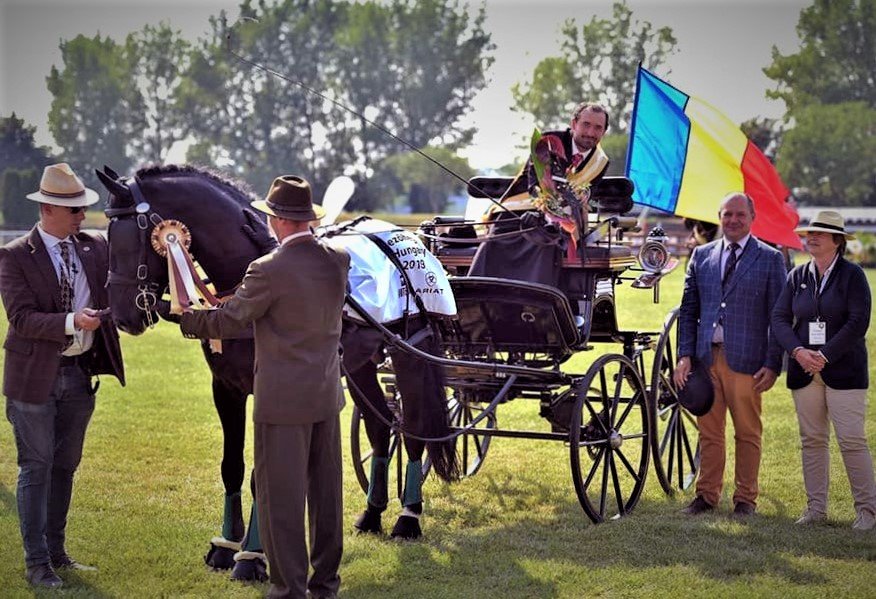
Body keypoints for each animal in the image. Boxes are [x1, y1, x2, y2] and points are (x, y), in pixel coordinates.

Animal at [96, 168, 462, 576]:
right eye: (107, 238)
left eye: (133, 237)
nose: (124, 316)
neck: (245, 281)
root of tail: (404, 237)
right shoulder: (225, 388)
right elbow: (232, 467)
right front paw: (226, 545)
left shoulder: (267, 390)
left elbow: (263, 474)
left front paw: (252, 556)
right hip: (360, 364)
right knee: (381, 427)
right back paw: (371, 514)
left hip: (410, 354)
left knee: (413, 430)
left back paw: (408, 517)